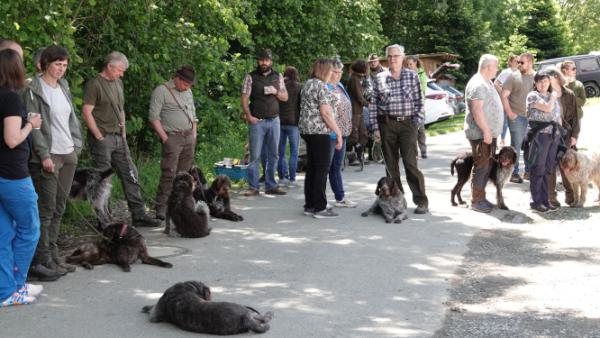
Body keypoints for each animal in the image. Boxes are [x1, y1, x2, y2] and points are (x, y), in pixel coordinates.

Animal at [142, 280, 274, 336]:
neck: (188, 287)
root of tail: (245, 318)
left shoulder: (156, 313)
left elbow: (152, 307)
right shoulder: (155, 314)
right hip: (249, 312)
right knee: (263, 317)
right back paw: (269, 314)